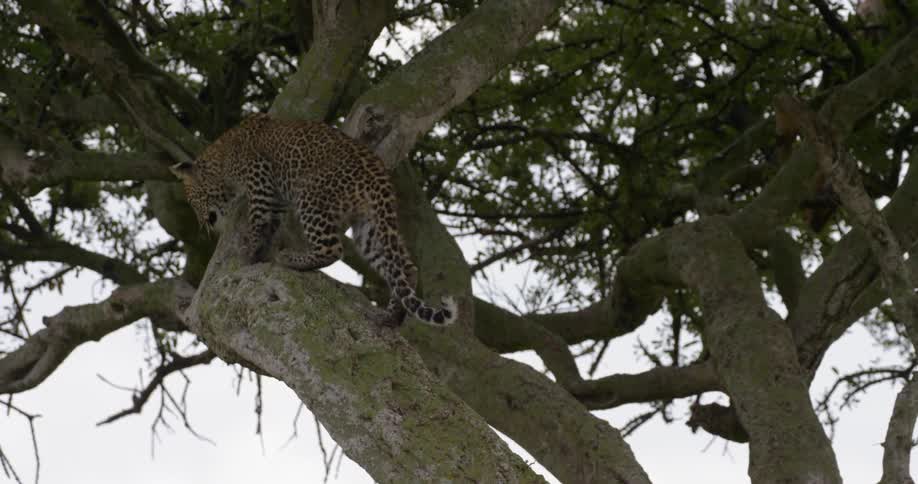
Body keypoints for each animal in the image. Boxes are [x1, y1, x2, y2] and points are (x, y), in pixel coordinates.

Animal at [170, 113, 457, 327]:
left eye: (193, 200)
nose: (203, 223)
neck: (222, 158)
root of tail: (379, 173)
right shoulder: (277, 197)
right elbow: (270, 226)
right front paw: (259, 252)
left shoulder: (259, 180)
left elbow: (258, 221)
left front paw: (248, 252)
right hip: (368, 225)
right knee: (405, 267)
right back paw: (390, 317)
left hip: (310, 196)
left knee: (333, 248)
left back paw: (291, 259)